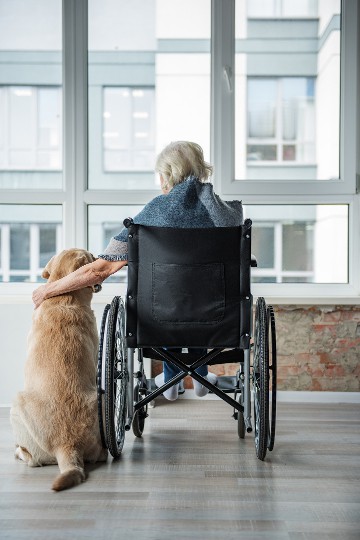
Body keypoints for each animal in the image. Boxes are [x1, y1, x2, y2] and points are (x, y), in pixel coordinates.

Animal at [10, 248, 107, 490]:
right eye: (91, 256)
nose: (99, 256)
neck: (65, 296)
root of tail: (67, 445)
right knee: (101, 455)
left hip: (16, 404)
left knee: (32, 459)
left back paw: (19, 452)